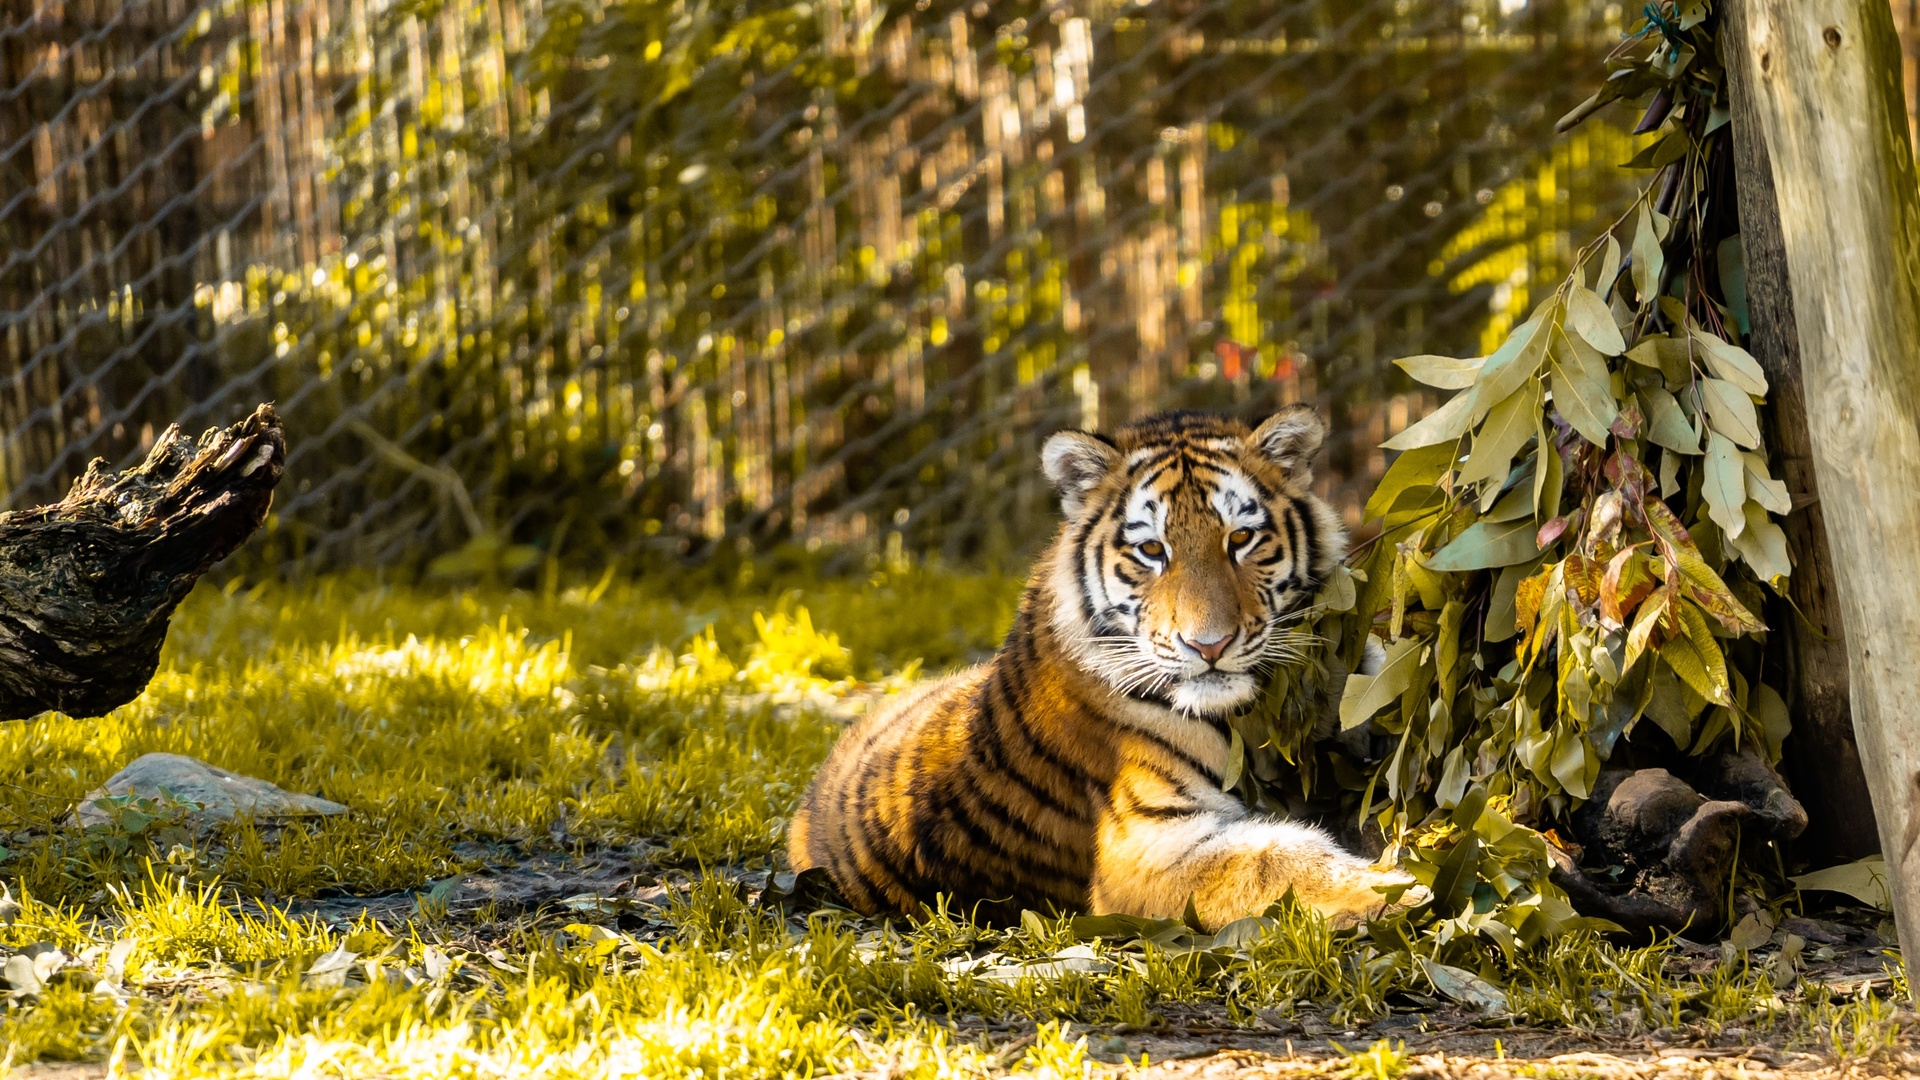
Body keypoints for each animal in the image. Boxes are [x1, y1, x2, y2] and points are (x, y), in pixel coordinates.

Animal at [779, 403, 1413, 926]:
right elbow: (1275, 859)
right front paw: (1393, 889)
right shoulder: (1146, 848)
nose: (1208, 645)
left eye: (1241, 539)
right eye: (1152, 550)